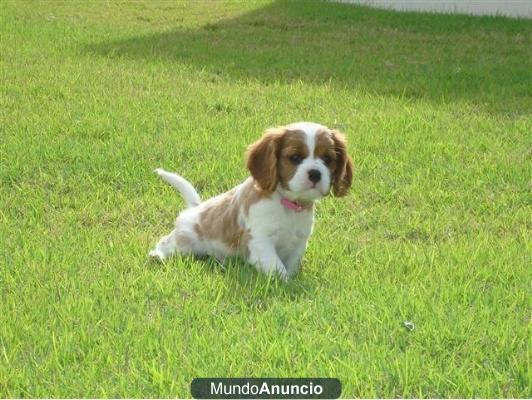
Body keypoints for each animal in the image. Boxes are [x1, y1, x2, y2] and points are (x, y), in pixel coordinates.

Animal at [150, 120, 354, 280]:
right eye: (295, 157)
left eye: (327, 159)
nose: (315, 173)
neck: (289, 204)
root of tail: (194, 208)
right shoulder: (260, 240)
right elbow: (277, 268)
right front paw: (287, 284)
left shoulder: (299, 242)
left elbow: (291, 265)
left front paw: (293, 280)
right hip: (185, 242)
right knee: (167, 243)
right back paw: (157, 255)